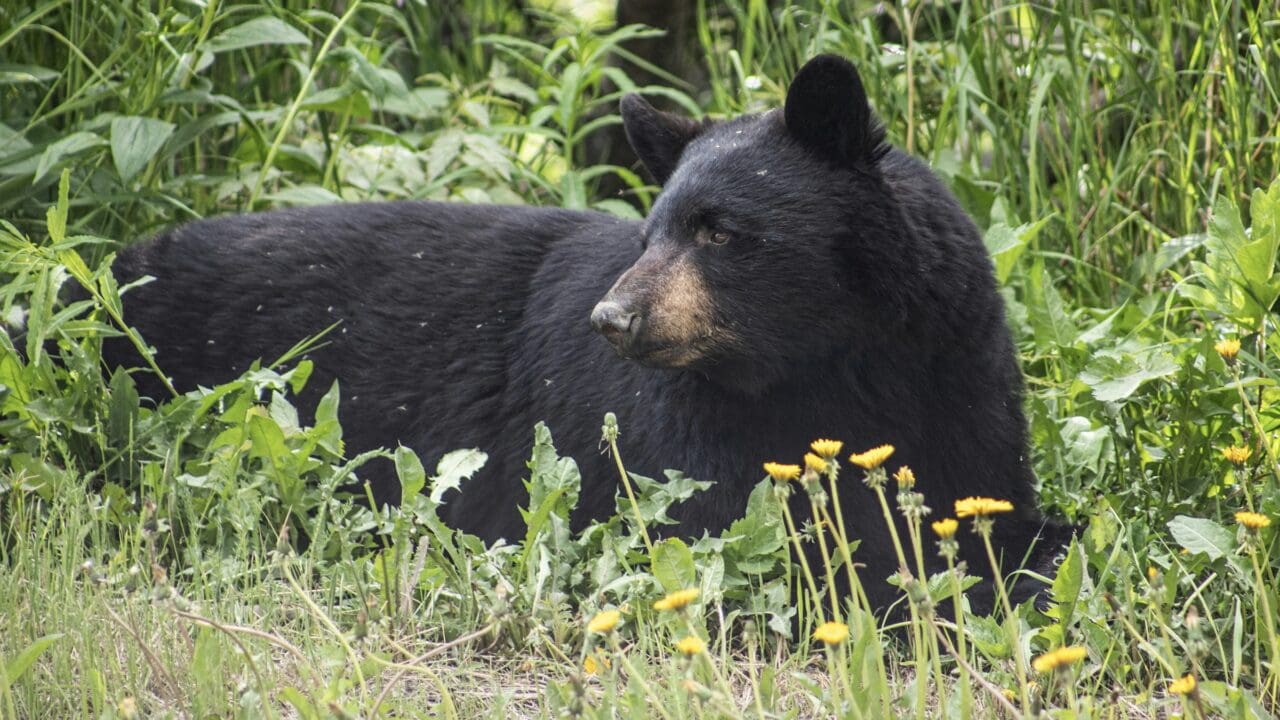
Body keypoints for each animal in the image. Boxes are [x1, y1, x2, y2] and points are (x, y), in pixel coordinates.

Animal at [103, 55, 1069, 611]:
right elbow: (758, 540)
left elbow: (994, 506)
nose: (613, 318)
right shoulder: (676, 443)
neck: (832, 368)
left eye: (720, 231)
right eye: (652, 232)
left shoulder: (957, 378)